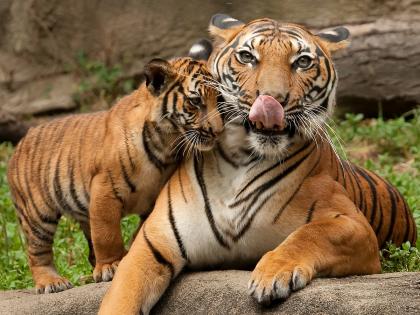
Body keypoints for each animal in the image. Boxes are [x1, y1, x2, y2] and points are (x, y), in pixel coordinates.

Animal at [6, 58, 223, 296]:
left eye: (219, 99)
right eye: (195, 101)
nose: (218, 131)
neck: (167, 144)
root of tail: (20, 142)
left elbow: (139, 232)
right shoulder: (105, 189)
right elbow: (107, 235)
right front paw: (110, 266)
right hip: (38, 214)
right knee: (37, 252)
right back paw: (52, 282)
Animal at [99, 15, 416, 315]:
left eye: (302, 62)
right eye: (247, 57)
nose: (272, 99)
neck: (240, 160)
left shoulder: (354, 224)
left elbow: (309, 234)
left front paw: (272, 274)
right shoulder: (153, 243)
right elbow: (122, 295)